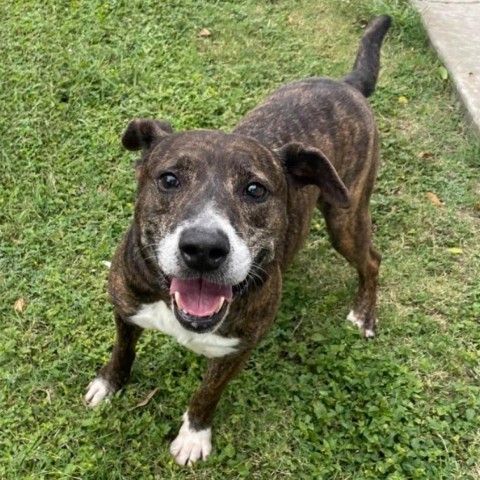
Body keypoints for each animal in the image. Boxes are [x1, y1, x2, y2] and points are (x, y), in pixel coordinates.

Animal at [86, 14, 392, 464]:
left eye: (255, 190)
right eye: (169, 180)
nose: (203, 249)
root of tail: (348, 84)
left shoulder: (238, 350)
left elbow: (207, 394)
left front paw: (194, 435)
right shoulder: (125, 310)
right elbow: (122, 351)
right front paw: (108, 384)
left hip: (346, 217)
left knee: (371, 259)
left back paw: (364, 313)